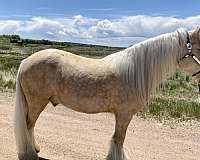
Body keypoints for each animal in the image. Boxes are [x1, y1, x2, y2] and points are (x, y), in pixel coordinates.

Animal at [14, 27, 200, 160]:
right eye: (199, 50)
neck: (135, 72)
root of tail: (25, 61)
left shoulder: (122, 115)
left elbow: (118, 139)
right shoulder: (124, 114)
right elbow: (119, 139)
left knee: (30, 125)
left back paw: (35, 149)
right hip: (37, 102)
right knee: (28, 125)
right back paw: (29, 154)